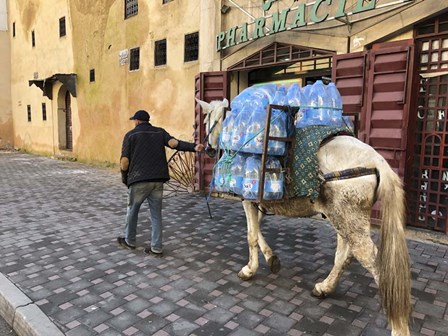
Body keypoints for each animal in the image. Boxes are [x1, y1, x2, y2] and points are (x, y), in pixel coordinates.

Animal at [198, 98, 412, 336]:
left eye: (207, 121)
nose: (208, 148)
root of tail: (376, 161)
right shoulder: (259, 202)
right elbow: (259, 229)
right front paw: (271, 258)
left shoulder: (248, 200)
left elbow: (251, 234)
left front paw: (249, 269)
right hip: (345, 219)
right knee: (344, 256)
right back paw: (324, 287)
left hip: (349, 220)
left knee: (374, 263)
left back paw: (398, 327)